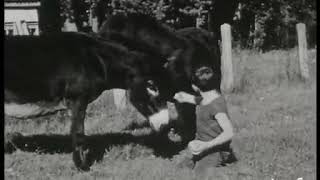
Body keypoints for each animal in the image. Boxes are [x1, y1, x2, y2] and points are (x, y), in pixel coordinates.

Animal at [4, 32, 172, 170]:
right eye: (152, 86)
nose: (165, 126)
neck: (96, 60)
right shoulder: (77, 100)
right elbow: (78, 133)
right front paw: (82, 167)